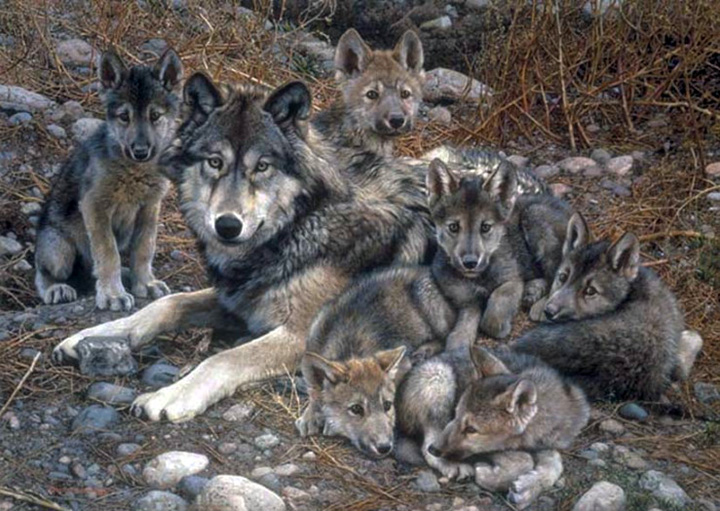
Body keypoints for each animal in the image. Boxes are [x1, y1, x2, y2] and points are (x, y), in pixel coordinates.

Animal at [35, 49, 183, 310]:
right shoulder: (94, 207)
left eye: (155, 115)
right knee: (44, 273)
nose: (140, 151)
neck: (134, 171)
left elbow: (144, 249)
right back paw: (57, 288)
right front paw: (113, 294)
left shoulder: (150, 207)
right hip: (58, 251)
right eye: (124, 116)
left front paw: (145, 283)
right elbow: (108, 253)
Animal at [51, 74, 431, 423]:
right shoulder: (239, 299)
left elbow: (222, 358)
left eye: (262, 167)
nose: (227, 225)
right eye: (214, 162)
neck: (304, 222)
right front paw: (93, 335)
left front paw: (171, 395)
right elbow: (165, 305)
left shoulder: (303, 336)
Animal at [398, 345, 589, 509]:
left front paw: (528, 489)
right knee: (425, 444)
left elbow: (555, 464)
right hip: (439, 379)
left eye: (471, 429)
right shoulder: (493, 448)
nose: (435, 449)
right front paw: (489, 476)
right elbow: (524, 460)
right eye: (455, 415)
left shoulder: (545, 445)